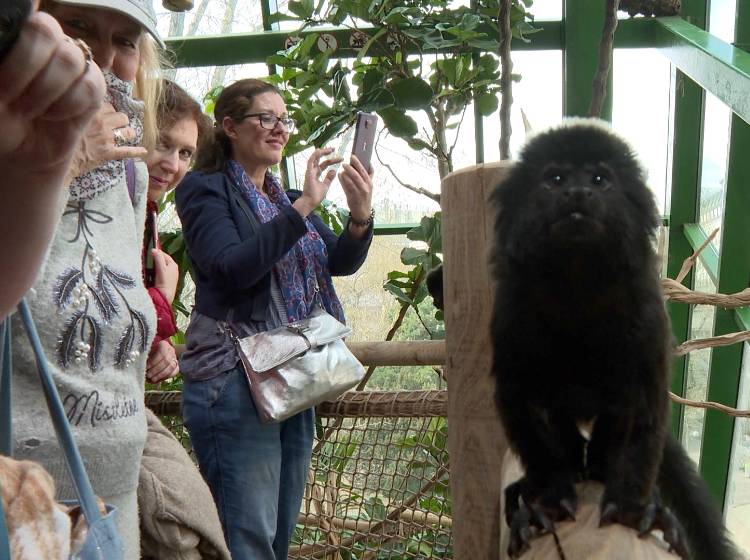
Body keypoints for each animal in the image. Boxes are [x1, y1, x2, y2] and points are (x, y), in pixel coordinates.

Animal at [488, 121, 740, 560]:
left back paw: (603, 471)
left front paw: (631, 510)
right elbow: (522, 405)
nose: (577, 193)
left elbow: (645, 405)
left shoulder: (646, 308)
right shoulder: (511, 312)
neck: (577, 281)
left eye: (599, 180)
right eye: (555, 179)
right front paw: (548, 502)